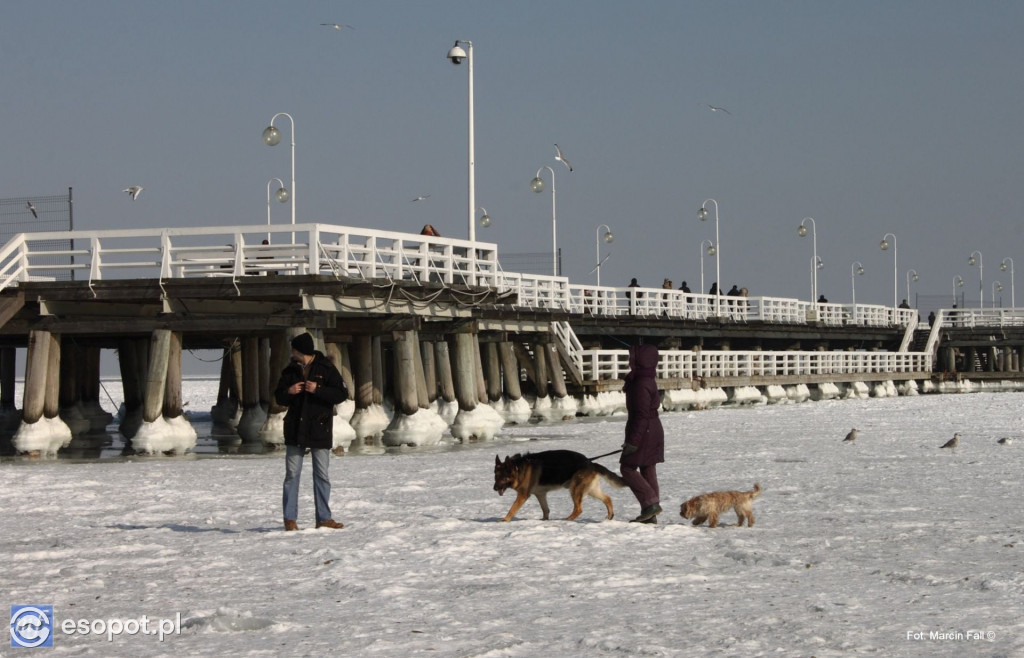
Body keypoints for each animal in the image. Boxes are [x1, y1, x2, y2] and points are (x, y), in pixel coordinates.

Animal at [493, 450, 626, 521]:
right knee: (607, 498)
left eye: (502, 477)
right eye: (495, 476)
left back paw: (568, 519)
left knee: (578, 509)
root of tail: (590, 462)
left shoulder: (523, 495)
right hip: (591, 490)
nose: (494, 488)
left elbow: (513, 508)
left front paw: (505, 519)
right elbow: (545, 509)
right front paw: (544, 520)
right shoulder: (540, 494)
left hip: (575, 490)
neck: (518, 468)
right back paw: (610, 516)